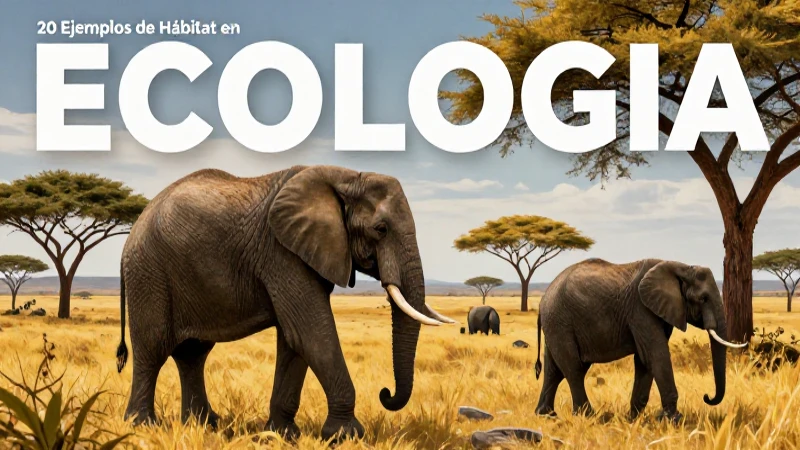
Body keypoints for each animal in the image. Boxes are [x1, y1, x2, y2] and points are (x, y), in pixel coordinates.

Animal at [115, 165, 456, 442]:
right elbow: (310, 332)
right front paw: (345, 437)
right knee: (153, 348)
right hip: (149, 273)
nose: (385, 393)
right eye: (380, 229)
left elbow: (294, 340)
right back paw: (142, 427)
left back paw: (205, 426)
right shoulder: (281, 252)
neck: (346, 177)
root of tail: (133, 230)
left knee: (193, 353)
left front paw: (280, 435)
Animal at [533, 258, 747, 422]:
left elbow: (644, 360)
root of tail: (543, 300)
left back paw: (546, 415)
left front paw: (634, 420)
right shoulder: (641, 309)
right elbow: (656, 354)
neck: (682, 267)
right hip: (560, 322)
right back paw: (588, 416)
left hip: (556, 325)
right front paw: (673, 420)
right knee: (574, 369)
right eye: (703, 299)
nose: (706, 396)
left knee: (554, 370)